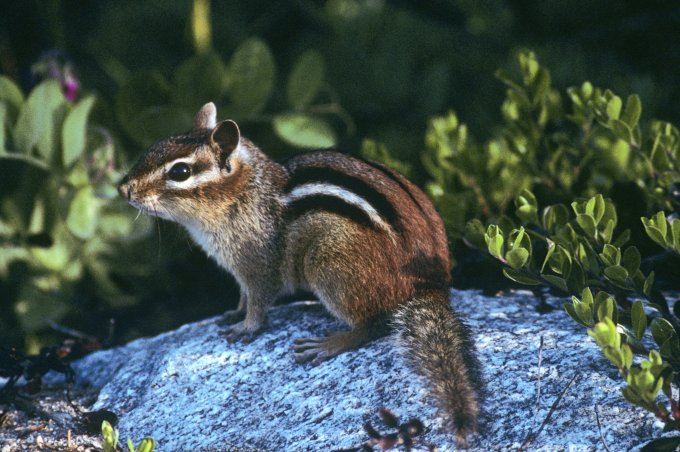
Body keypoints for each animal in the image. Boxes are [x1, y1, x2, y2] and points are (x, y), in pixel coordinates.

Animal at [117, 102, 483, 445]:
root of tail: (433, 284)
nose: (124, 189)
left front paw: (246, 327)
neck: (243, 193)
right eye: (154, 147)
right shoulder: (240, 269)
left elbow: (259, 300)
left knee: (373, 324)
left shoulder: (258, 262)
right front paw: (233, 314)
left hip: (330, 266)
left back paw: (331, 344)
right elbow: (243, 295)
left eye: (180, 171)